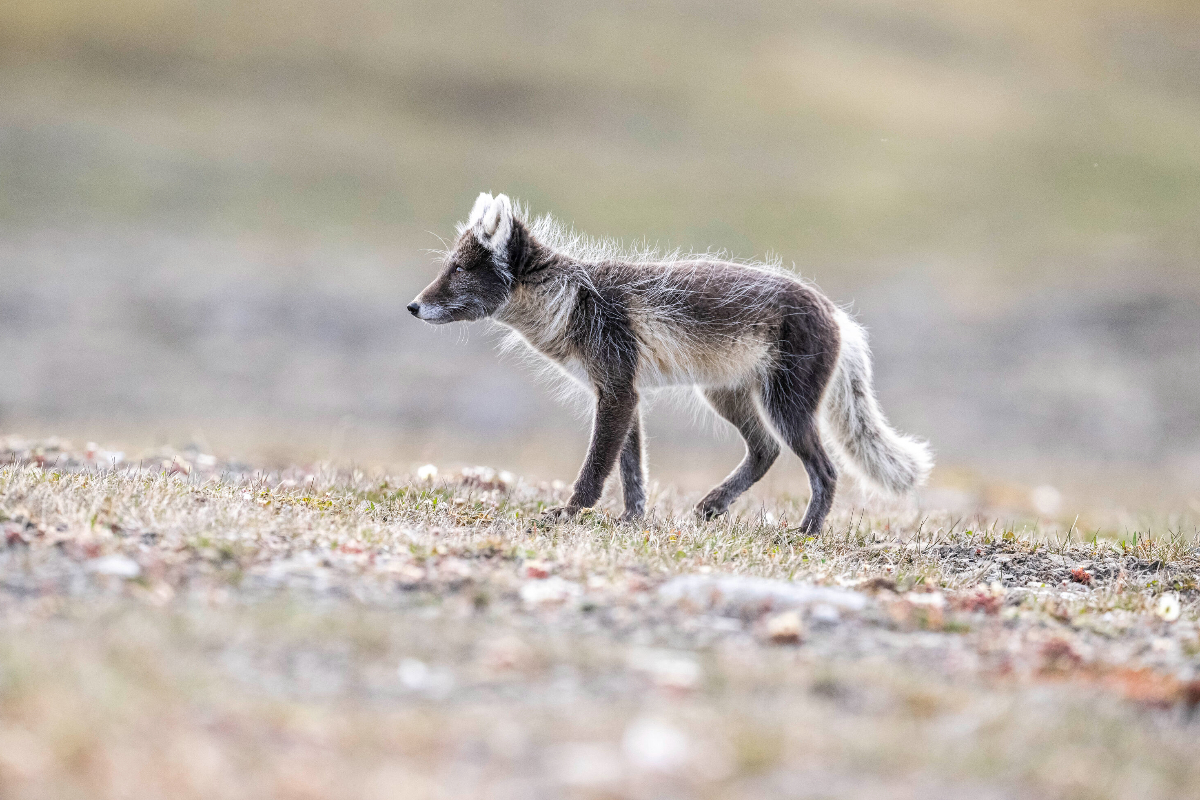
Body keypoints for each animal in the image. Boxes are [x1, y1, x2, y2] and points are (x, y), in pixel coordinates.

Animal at [408, 193, 932, 534]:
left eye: (458, 270)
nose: (412, 307)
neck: (572, 298)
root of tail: (836, 312)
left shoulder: (617, 392)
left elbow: (597, 468)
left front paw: (570, 514)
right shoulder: (622, 392)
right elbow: (632, 470)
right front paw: (631, 520)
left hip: (786, 407)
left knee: (824, 470)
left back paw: (805, 532)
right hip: (726, 396)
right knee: (765, 451)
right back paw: (713, 507)